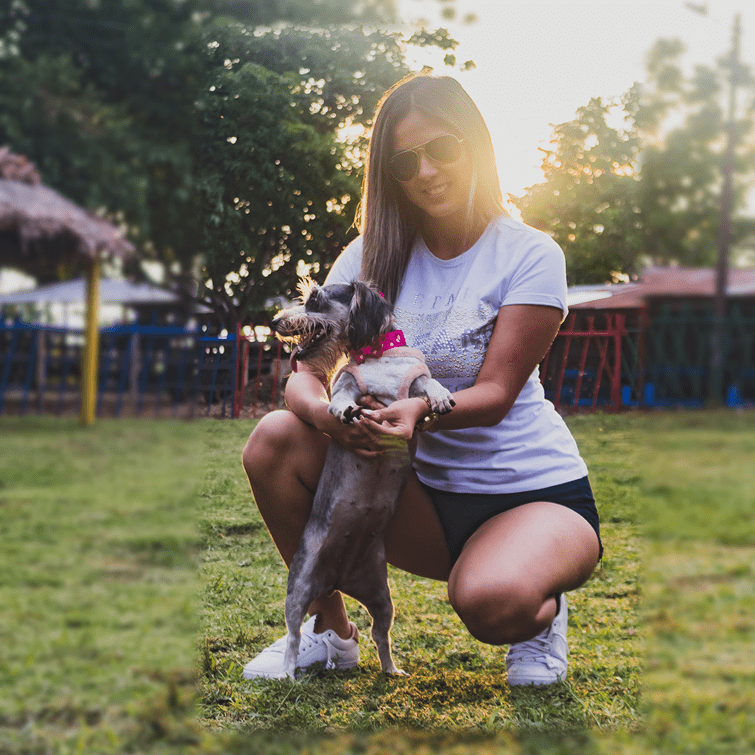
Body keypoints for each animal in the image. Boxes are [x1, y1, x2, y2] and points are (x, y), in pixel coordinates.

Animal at [268, 278, 452, 680]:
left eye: (315, 299)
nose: (274, 321)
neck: (376, 355)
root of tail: (339, 578)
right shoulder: (348, 383)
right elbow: (341, 396)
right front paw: (344, 410)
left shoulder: (416, 383)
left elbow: (429, 386)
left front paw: (442, 396)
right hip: (299, 587)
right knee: (292, 634)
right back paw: (287, 671)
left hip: (383, 600)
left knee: (379, 635)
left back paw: (391, 669)